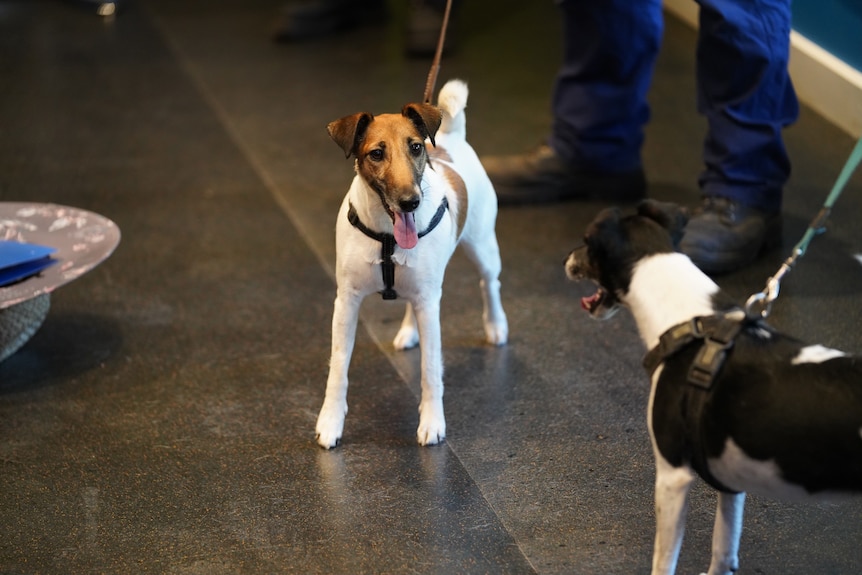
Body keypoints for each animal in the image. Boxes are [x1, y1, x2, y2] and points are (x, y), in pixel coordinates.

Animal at [316, 81, 506, 450]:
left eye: (416, 147)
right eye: (376, 153)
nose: (411, 202)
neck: (388, 235)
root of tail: (451, 137)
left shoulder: (430, 305)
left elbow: (430, 370)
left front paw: (432, 423)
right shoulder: (346, 302)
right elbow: (338, 368)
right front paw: (330, 422)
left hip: (482, 247)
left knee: (489, 283)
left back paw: (495, 325)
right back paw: (408, 331)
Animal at [568, 201, 862, 575]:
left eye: (585, 243)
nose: (567, 258)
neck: (688, 319)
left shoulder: (672, 476)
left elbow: (663, 561)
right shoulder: (730, 482)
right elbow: (723, 549)